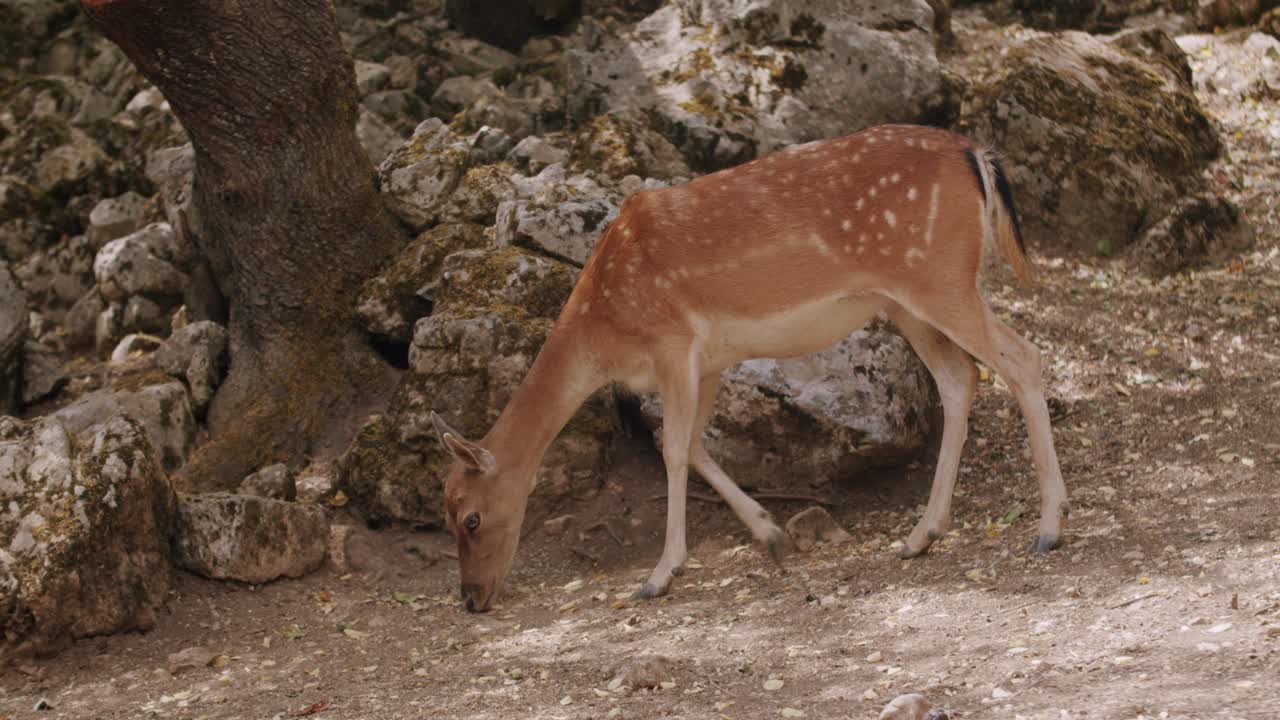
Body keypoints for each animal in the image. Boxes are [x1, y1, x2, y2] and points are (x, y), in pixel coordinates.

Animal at [429, 124, 1069, 613]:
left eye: (470, 518)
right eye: (449, 513)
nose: (472, 598)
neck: (603, 333)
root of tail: (975, 154)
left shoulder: (672, 341)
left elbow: (672, 451)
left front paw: (659, 576)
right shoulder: (710, 360)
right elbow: (694, 446)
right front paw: (771, 534)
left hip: (939, 277)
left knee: (1023, 357)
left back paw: (1050, 527)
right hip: (906, 300)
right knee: (962, 377)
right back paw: (920, 536)